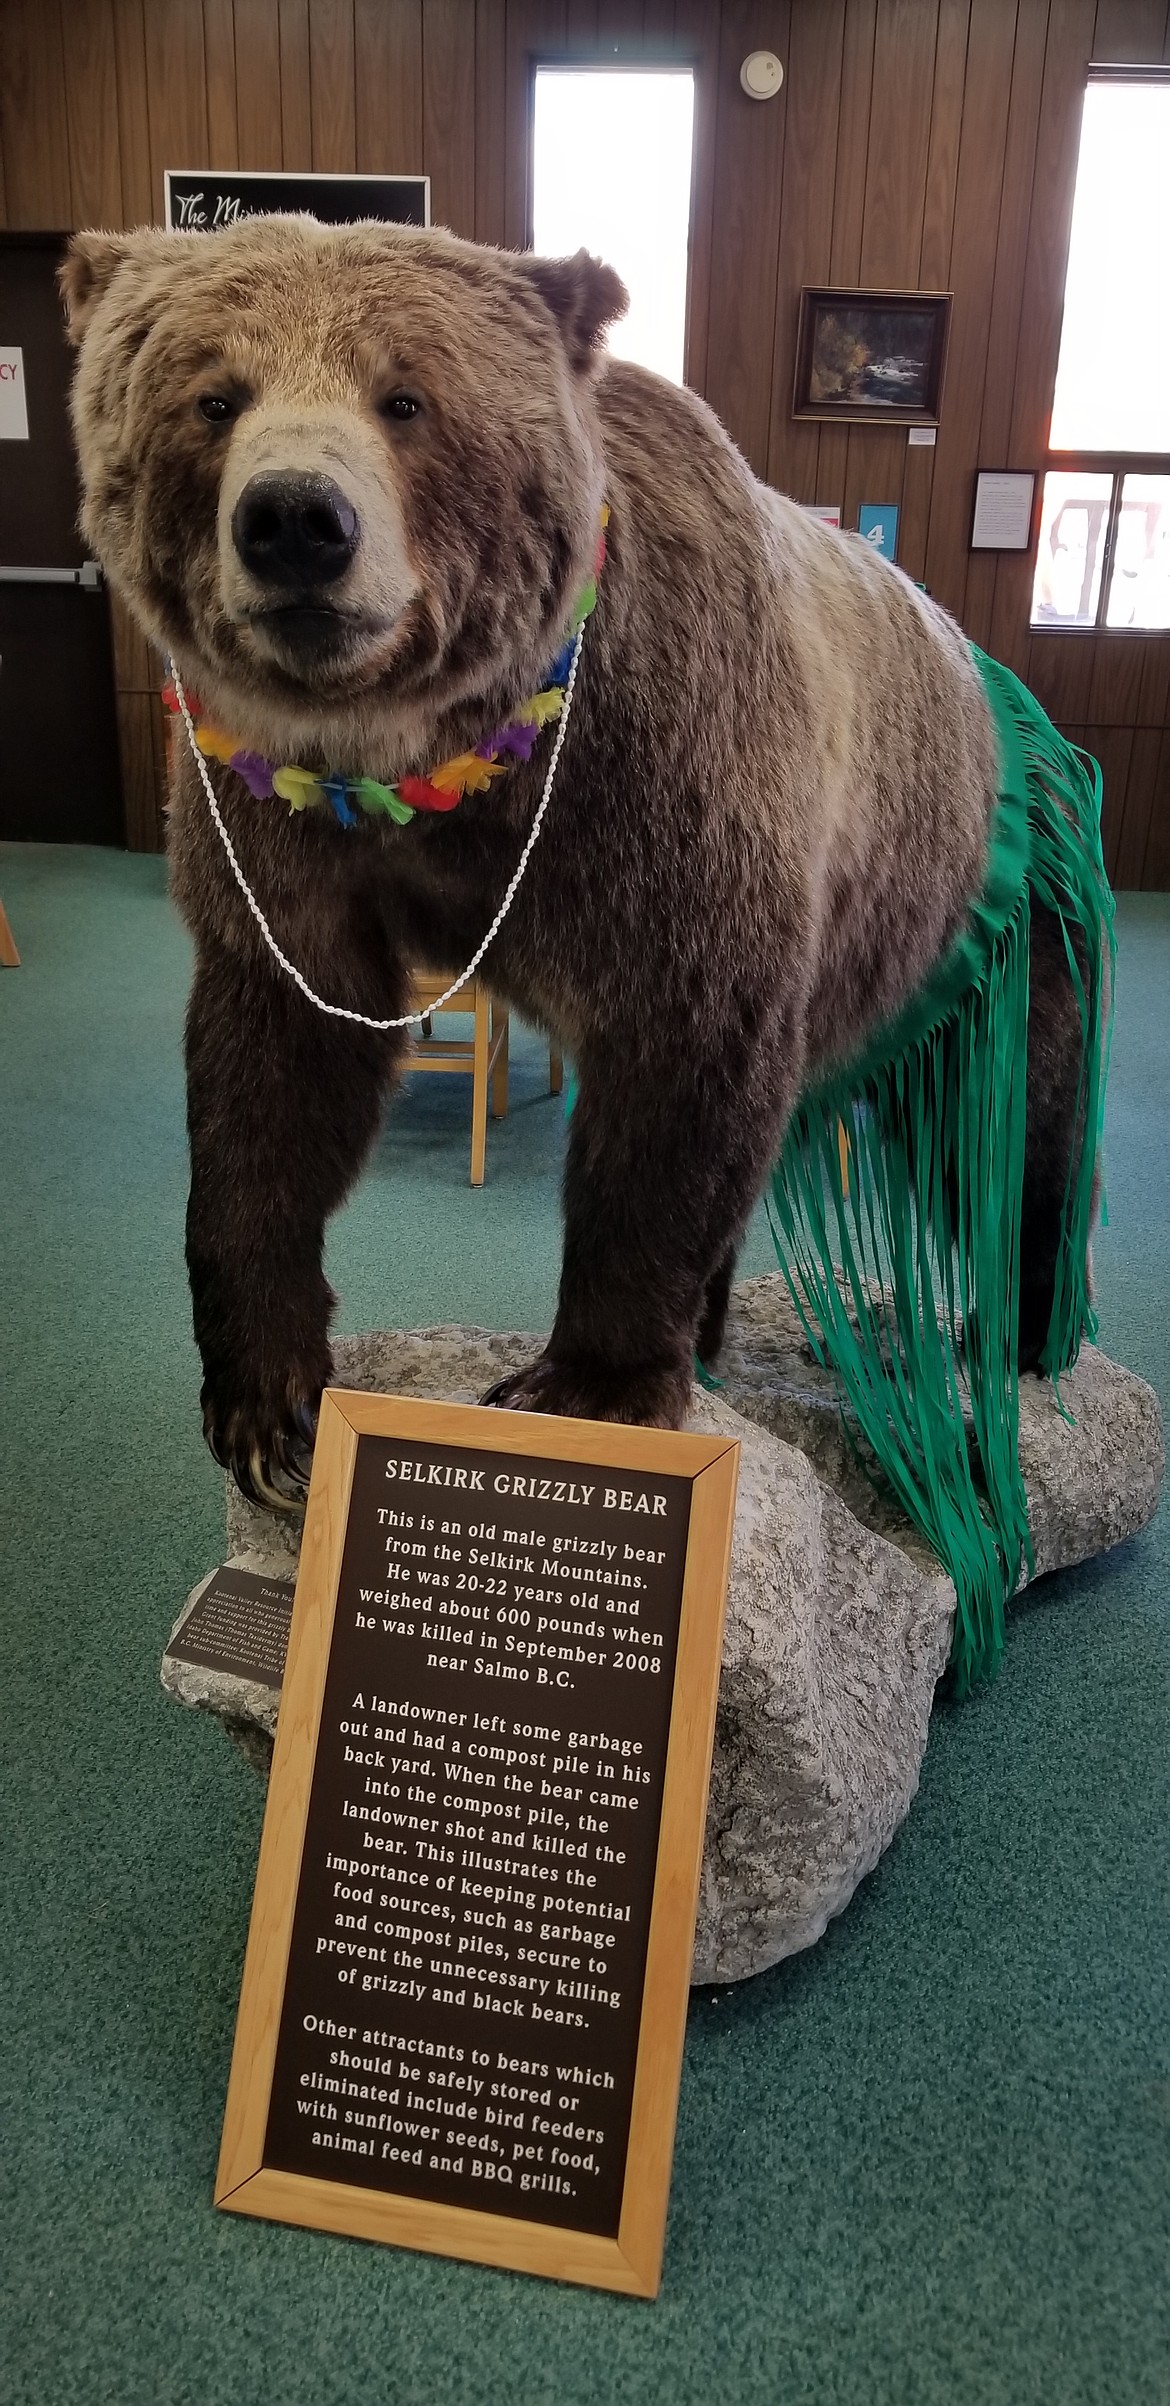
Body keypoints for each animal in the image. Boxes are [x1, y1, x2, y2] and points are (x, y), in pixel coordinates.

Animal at [59, 226, 1102, 1549]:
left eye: (408, 398)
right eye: (211, 396)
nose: (296, 519)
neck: (436, 766)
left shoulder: (667, 797)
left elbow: (678, 1075)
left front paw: (586, 1383)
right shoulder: (278, 829)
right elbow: (277, 1071)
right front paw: (266, 1404)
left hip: (980, 930)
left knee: (1013, 1126)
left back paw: (1022, 1333)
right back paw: (715, 1327)